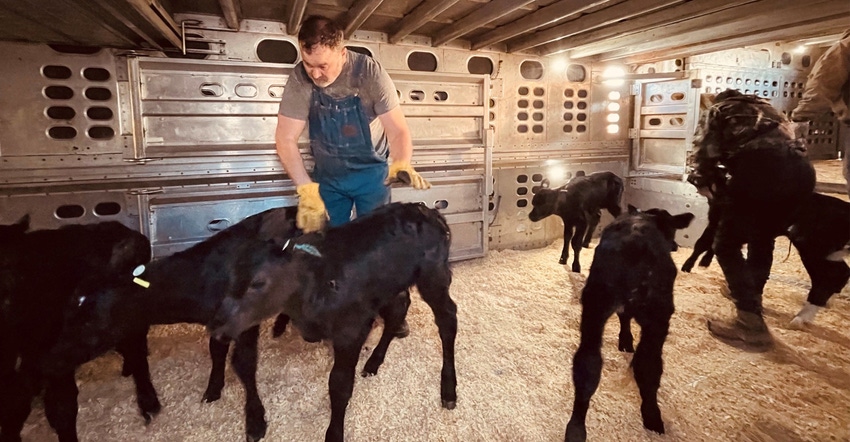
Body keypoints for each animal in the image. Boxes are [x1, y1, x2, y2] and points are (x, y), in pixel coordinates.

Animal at [47, 207, 298, 442]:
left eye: (90, 321)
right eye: (67, 317)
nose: (52, 361)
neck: (207, 276)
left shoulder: (246, 323)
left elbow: (243, 364)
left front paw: (255, 421)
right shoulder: (217, 320)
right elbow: (216, 352)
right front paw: (213, 390)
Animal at [210, 203, 458, 442]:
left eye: (259, 283)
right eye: (230, 279)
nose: (219, 325)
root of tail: (427, 211)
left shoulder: (351, 330)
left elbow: (339, 385)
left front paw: (334, 434)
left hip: (433, 276)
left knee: (447, 317)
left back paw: (448, 390)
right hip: (390, 283)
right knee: (400, 306)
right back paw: (373, 362)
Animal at [560, 205, 692, 440]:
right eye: (672, 230)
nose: (675, 246)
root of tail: (635, 244)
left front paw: (625, 340)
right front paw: (626, 340)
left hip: (596, 304)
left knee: (590, 362)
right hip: (654, 311)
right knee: (644, 364)